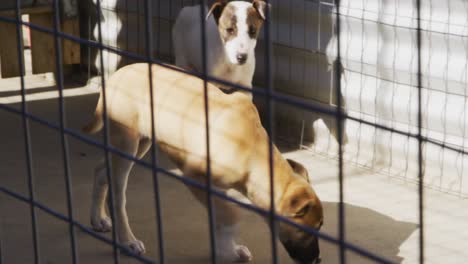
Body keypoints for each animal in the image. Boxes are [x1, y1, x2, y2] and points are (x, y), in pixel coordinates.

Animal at [82, 64, 324, 264]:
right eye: (310, 229)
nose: (317, 260)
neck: (253, 152)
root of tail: (114, 77)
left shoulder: (215, 188)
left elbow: (220, 216)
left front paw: (228, 248)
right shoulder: (194, 177)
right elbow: (231, 215)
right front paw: (227, 249)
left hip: (140, 143)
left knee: (101, 171)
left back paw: (98, 219)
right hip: (127, 144)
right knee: (117, 194)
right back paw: (127, 241)